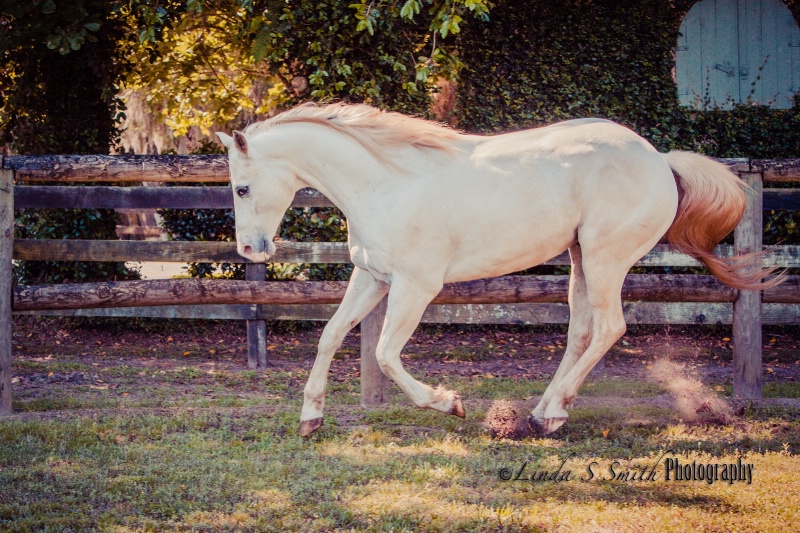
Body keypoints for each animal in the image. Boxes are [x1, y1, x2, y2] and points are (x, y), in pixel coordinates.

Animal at [216, 103, 780, 436]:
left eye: (241, 188)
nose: (249, 249)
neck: (386, 183)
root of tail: (660, 160)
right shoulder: (371, 278)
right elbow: (331, 336)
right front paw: (311, 418)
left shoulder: (415, 287)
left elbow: (384, 354)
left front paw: (449, 403)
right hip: (580, 260)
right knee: (580, 332)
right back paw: (542, 413)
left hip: (606, 258)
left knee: (610, 327)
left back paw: (551, 413)